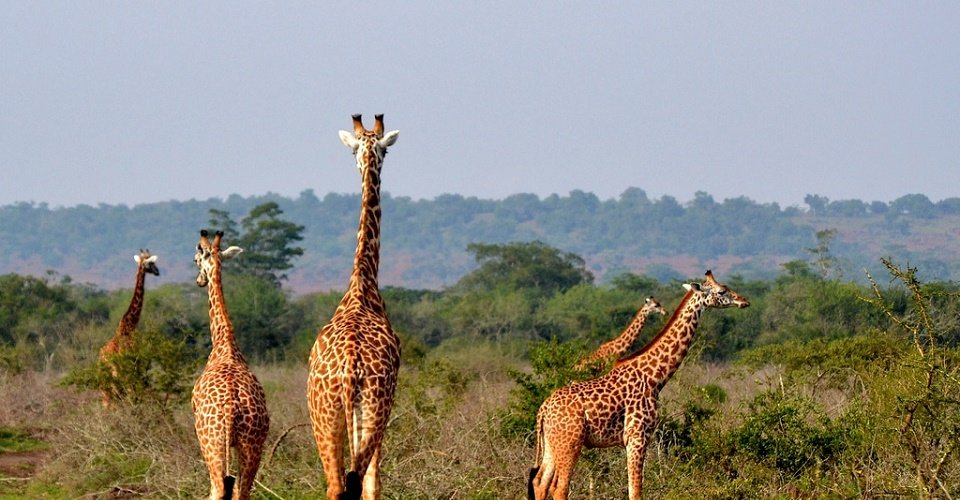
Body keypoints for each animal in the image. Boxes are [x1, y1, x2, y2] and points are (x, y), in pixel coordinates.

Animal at [192, 230, 270, 500]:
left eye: (195, 260)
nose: (199, 281)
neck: (224, 345)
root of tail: (231, 410)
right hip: (252, 444)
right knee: (241, 491)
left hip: (212, 443)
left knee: (217, 488)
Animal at [529, 271, 749, 500]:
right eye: (722, 291)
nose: (744, 301)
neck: (654, 377)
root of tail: (543, 410)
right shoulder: (637, 436)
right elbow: (636, 492)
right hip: (570, 443)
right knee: (559, 488)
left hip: (552, 444)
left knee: (540, 482)